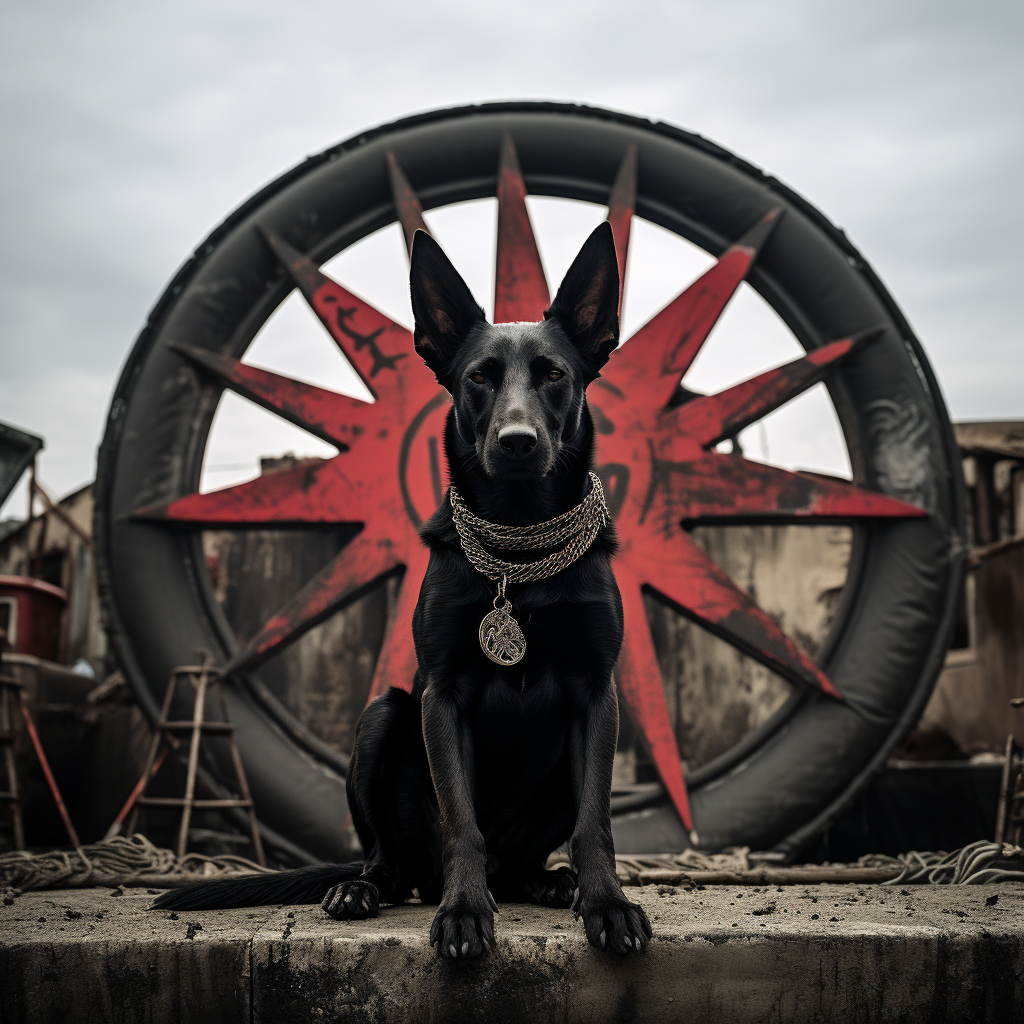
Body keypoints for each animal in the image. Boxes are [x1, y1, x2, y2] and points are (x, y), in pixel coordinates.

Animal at [153, 220, 647, 954]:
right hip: (381, 720)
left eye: (555, 375)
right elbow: (461, 821)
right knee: (394, 861)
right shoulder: (441, 697)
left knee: (519, 862)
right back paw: (367, 889)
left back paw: (548, 882)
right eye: (479, 378)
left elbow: (597, 822)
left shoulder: (595, 696)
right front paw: (464, 911)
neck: (517, 546)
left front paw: (607, 903)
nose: (518, 441)